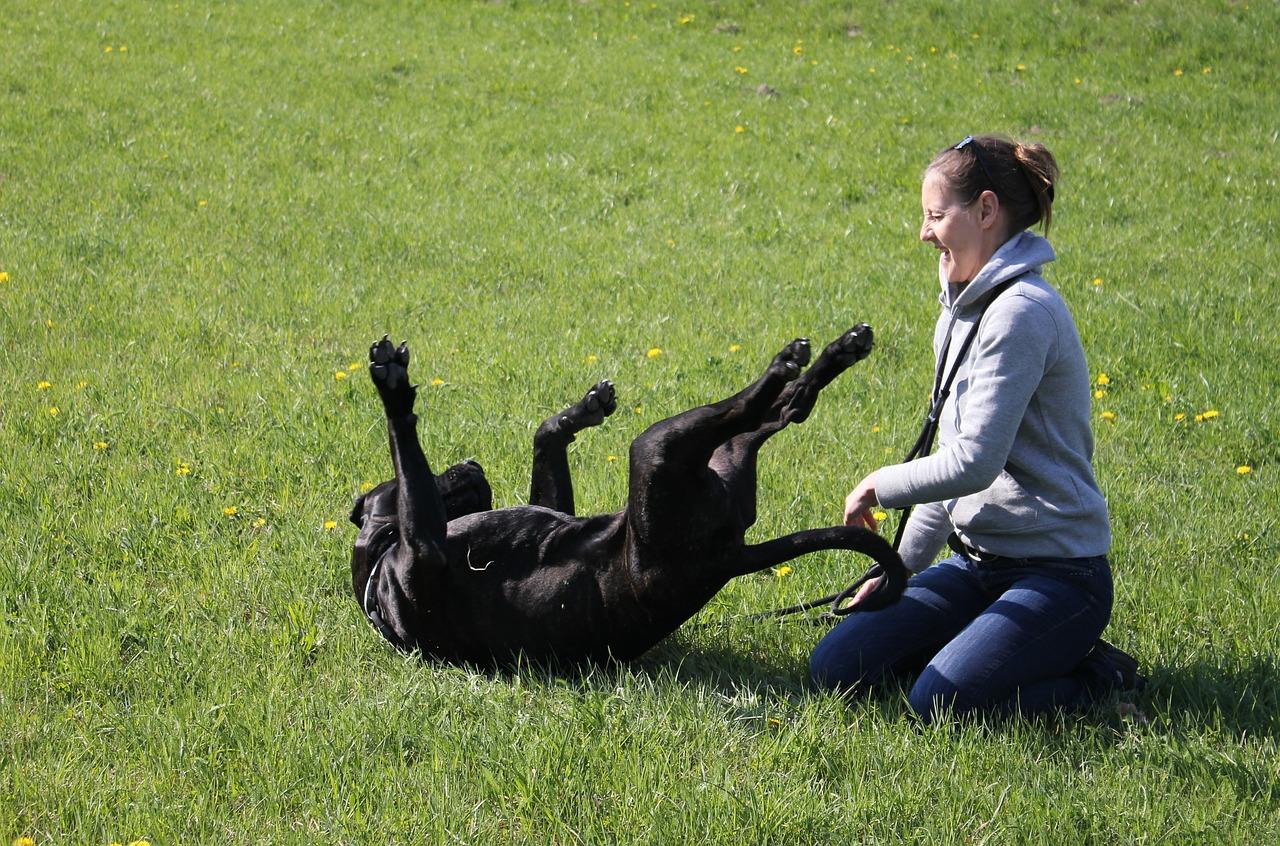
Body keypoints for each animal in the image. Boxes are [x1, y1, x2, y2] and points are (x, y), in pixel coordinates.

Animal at [350, 326, 911, 665]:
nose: (470, 465)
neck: (378, 571)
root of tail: (727, 556)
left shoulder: (549, 506)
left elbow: (544, 440)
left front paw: (580, 412)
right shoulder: (424, 547)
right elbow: (404, 436)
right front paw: (394, 392)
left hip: (701, 455)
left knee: (782, 410)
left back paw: (833, 354)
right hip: (661, 451)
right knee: (762, 410)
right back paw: (792, 362)